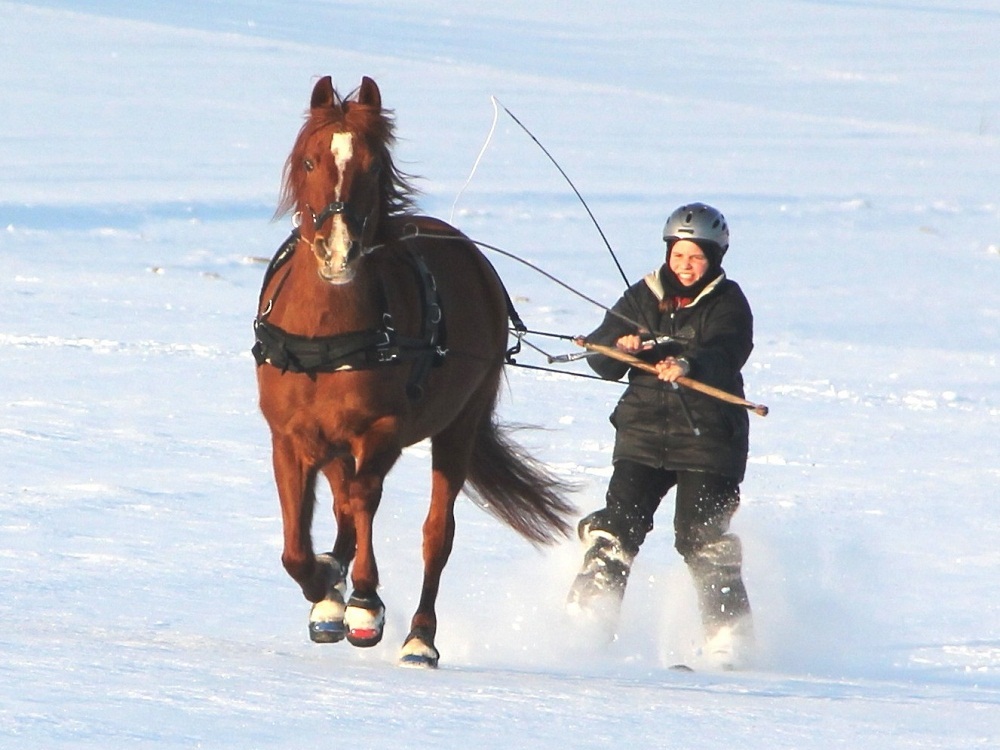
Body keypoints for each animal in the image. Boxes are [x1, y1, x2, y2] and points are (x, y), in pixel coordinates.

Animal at [254, 76, 576, 668]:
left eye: (373, 165)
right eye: (310, 160)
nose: (338, 251)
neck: (326, 335)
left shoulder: (382, 430)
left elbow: (365, 502)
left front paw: (363, 603)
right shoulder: (290, 437)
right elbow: (296, 547)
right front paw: (326, 592)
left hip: (458, 426)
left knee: (434, 533)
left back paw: (420, 636)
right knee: (344, 502)